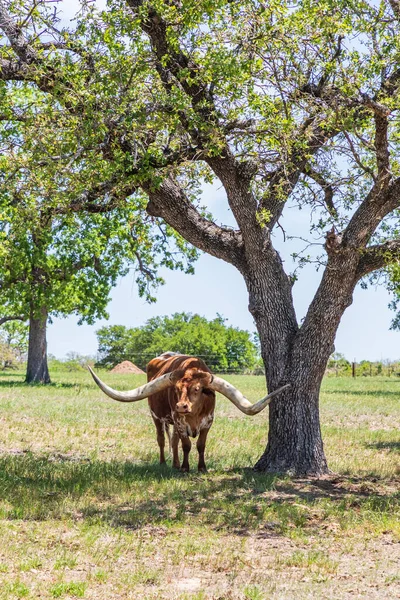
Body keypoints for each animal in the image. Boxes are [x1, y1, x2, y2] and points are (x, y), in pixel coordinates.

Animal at [87, 352, 290, 474]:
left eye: (198, 389)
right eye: (176, 389)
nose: (181, 406)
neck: (194, 416)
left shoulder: (208, 422)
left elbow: (200, 445)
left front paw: (201, 468)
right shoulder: (179, 422)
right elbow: (186, 445)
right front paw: (185, 468)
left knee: (173, 441)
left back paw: (175, 464)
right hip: (156, 417)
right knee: (162, 440)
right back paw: (164, 463)